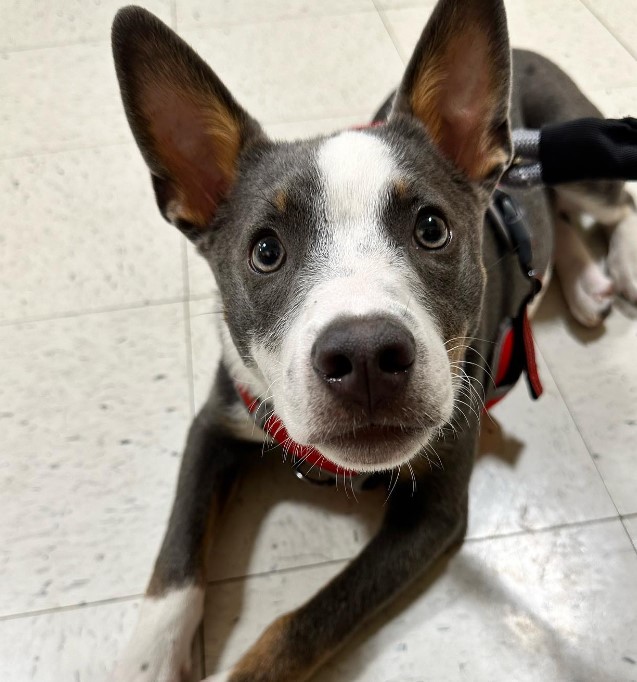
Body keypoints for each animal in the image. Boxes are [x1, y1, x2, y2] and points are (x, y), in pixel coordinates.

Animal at [109, 1, 636, 680]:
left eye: (432, 228)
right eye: (265, 251)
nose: (364, 358)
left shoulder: (432, 515)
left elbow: (302, 624)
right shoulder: (216, 421)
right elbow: (174, 567)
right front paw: (146, 664)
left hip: (581, 153)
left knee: (615, 204)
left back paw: (618, 267)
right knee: (552, 219)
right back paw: (581, 280)